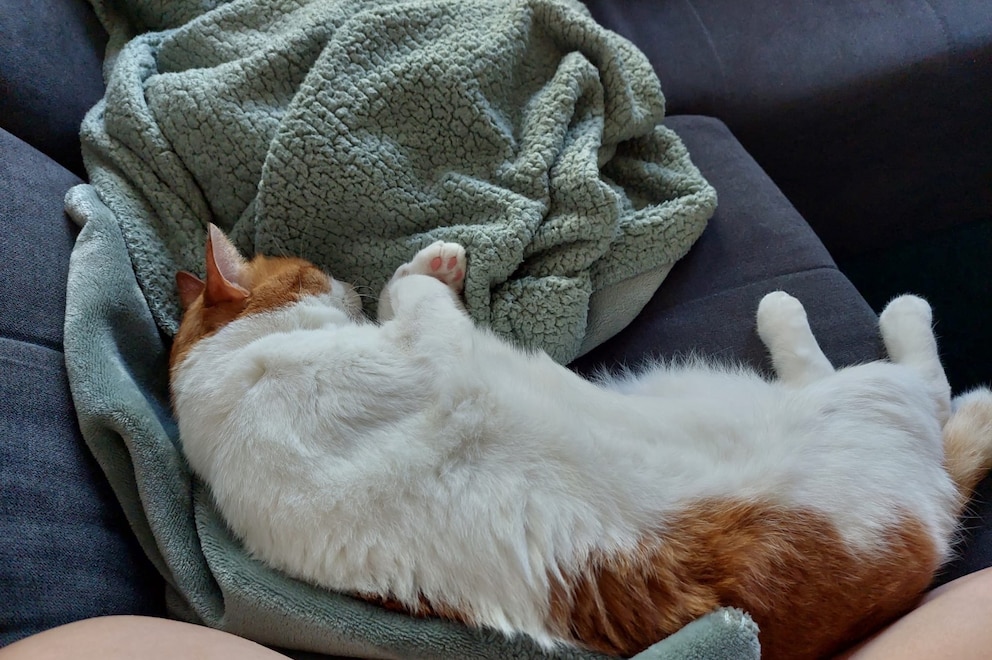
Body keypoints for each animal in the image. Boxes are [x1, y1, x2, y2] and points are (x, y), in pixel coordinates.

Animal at [169, 224, 992, 656]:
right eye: (310, 270)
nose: (343, 280)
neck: (223, 382)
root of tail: (936, 517)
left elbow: (414, 291)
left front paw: (431, 262)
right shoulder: (429, 346)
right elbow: (417, 294)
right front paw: (426, 267)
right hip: (864, 399)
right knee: (921, 380)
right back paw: (853, 314)